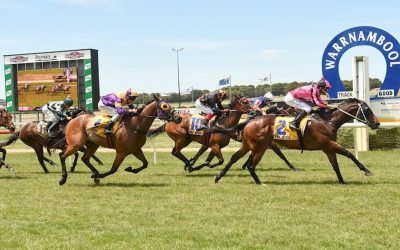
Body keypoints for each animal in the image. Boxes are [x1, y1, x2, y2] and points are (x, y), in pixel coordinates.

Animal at [216, 98, 382, 185]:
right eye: (367, 110)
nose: (377, 123)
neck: (328, 121)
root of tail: (250, 121)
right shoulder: (329, 144)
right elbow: (349, 154)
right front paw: (366, 170)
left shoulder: (327, 148)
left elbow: (335, 166)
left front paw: (342, 181)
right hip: (259, 147)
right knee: (251, 165)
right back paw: (259, 183)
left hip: (248, 145)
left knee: (234, 158)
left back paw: (218, 177)